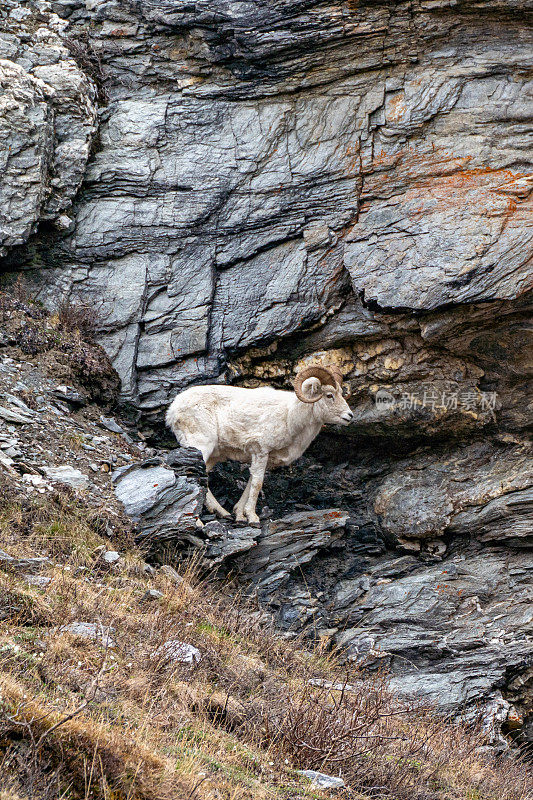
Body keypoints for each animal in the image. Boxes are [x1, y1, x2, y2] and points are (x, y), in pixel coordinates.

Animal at [164, 364, 352, 524]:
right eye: (329, 395)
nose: (349, 416)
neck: (289, 415)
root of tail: (172, 411)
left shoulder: (262, 458)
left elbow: (251, 483)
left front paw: (240, 515)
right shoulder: (261, 451)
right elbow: (257, 483)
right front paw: (253, 518)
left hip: (212, 456)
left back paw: (223, 513)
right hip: (201, 446)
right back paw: (198, 522)